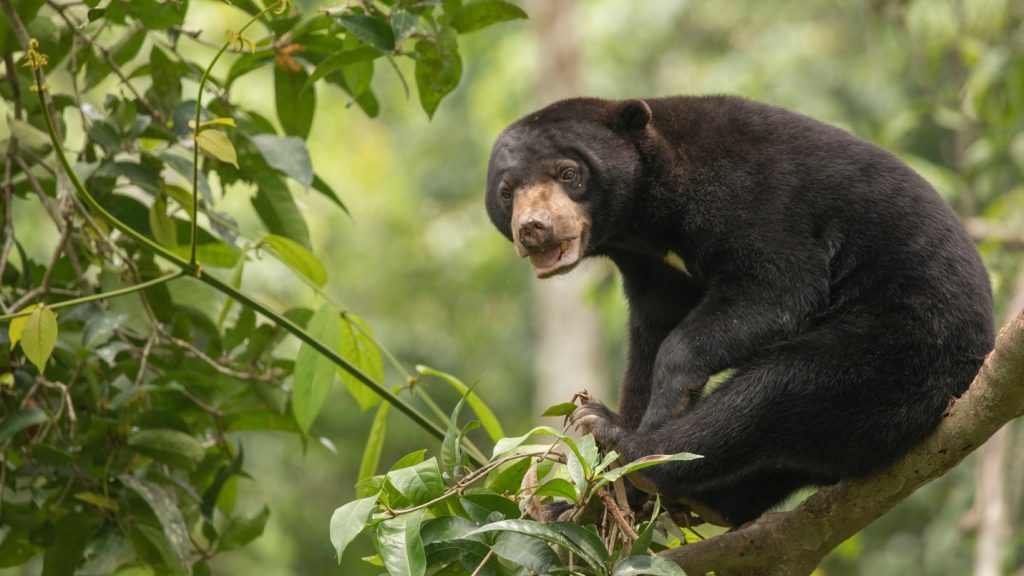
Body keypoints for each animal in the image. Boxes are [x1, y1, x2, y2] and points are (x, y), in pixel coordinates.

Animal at [483, 95, 995, 524]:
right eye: (507, 192)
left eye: (569, 173)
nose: (533, 227)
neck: (646, 221)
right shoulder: (653, 267)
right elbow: (651, 336)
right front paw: (603, 485)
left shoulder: (751, 198)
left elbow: (779, 287)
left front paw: (646, 421)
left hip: (904, 345)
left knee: (781, 387)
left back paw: (634, 449)